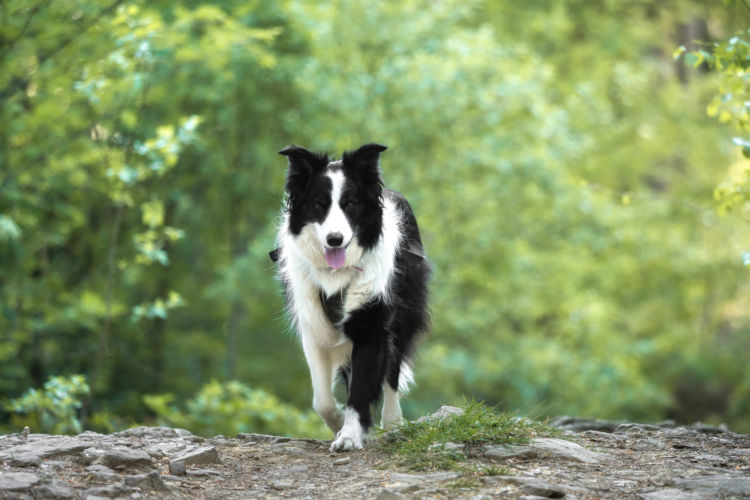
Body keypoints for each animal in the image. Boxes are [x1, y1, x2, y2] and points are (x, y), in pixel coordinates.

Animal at [274, 143, 432, 452]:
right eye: (318, 205)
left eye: (350, 204)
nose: (335, 239)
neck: (337, 274)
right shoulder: (313, 327)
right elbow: (322, 400)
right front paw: (339, 424)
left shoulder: (372, 321)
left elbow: (362, 385)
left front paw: (349, 435)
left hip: (403, 315)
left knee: (392, 370)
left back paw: (393, 423)